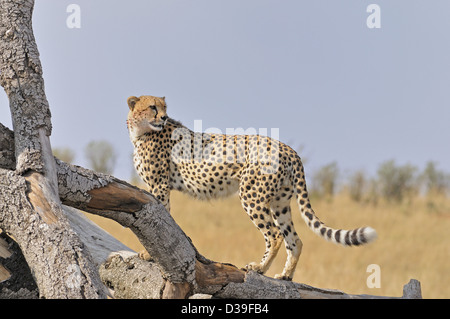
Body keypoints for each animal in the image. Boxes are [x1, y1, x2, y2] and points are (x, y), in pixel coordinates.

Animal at [126, 95, 376, 280]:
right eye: (152, 107)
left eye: (164, 107)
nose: (164, 117)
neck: (141, 132)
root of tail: (288, 148)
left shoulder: (159, 185)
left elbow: (160, 217)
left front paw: (149, 253)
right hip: (279, 203)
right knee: (294, 239)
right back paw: (285, 275)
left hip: (251, 195)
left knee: (275, 235)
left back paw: (259, 268)